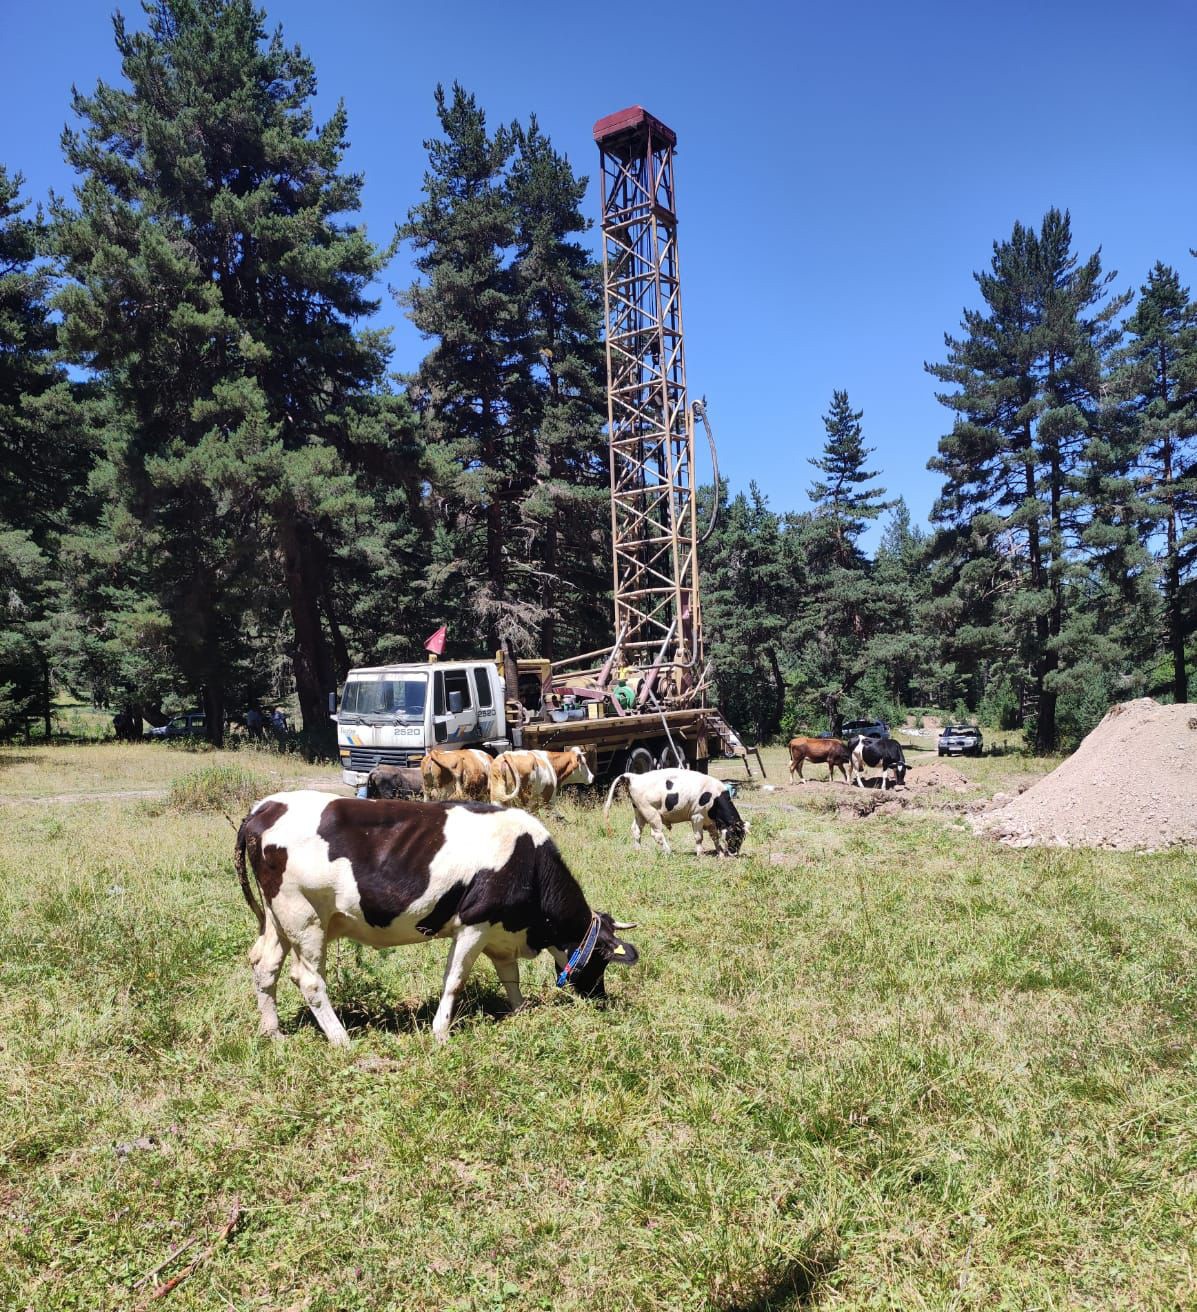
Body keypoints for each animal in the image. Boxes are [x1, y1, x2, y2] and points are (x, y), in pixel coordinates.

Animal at [237, 787, 640, 1044]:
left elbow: (510, 976)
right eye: (602, 959)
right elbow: (454, 980)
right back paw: (340, 1039)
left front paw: (521, 1011)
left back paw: (273, 1033)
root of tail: (265, 808)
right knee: (308, 980)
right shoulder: (475, 923)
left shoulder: (501, 932)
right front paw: (441, 1032)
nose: (599, 997)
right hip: (305, 918)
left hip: (278, 920)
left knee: (264, 964)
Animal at [603, 766, 745, 860]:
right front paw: (700, 854)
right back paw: (668, 852)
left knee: (636, 830)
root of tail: (634, 776)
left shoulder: (710, 821)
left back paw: (638, 851)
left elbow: (715, 837)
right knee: (656, 834)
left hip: (639, 812)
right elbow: (699, 837)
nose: (734, 853)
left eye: (742, 838)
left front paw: (720, 854)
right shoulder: (697, 816)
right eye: (735, 836)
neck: (715, 796)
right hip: (651, 813)